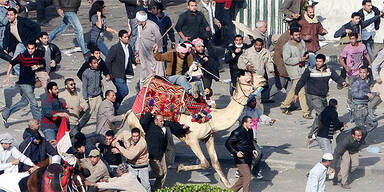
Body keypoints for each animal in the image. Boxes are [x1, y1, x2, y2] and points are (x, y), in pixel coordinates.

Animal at [121, 75, 266, 188]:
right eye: (248, 79)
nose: (263, 79)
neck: (212, 118)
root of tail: (129, 111)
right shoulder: (191, 139)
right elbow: (205, 163)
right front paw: (180, 168)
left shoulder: (209, 137)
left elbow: (215, 162)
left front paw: (229, 185)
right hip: (139, 127)